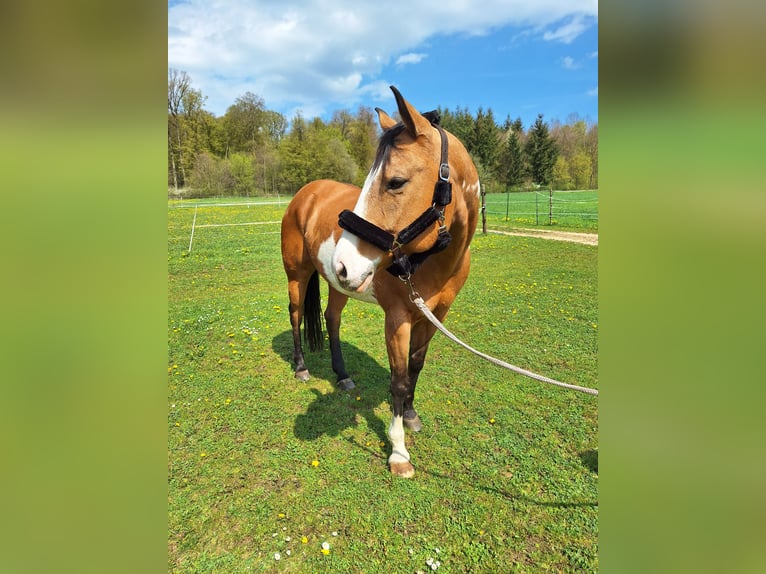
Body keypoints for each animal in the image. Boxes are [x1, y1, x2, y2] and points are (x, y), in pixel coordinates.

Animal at [280, 86, 480, 478]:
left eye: (395, 182)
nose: (344, 263)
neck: (432, 260)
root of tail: (305, 194)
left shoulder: (435, 316)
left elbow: (416, 366)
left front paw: (412, 415)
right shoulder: (398, 318)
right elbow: (398, 380)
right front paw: (399, 452)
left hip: (337, 285)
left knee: (331, 319)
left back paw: (342, 375)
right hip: (299, 275)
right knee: (296, 315)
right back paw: (301, 367)